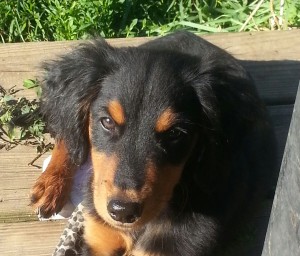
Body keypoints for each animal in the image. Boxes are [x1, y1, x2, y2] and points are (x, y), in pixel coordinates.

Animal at [31, 31, 276, 255]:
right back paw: (50, 184)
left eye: (176, 133)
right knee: (69, 132)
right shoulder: (98, 238)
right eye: (107, 121)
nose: (123, 211)